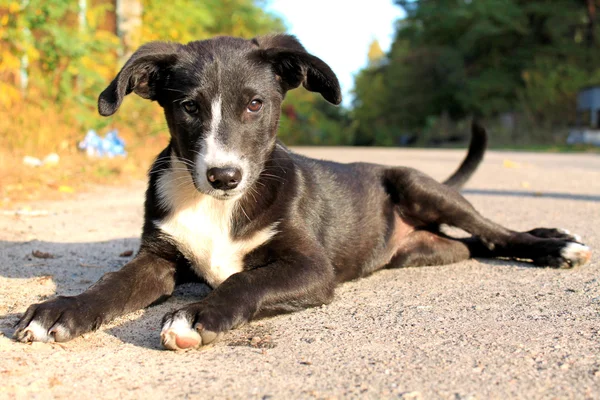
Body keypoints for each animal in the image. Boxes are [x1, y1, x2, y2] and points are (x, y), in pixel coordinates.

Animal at [12, 35, 592, 350]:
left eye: (255, 104)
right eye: (189, 107)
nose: (224, 176)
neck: (218, 208)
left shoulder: (312, 267)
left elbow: (245, 281)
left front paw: (198, 315)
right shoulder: (157, 257)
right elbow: (110, 286)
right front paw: (61, 309)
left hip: (419, 185)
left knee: (498, 232)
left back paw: (556, 243)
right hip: (426, 249)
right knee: (477, 244)